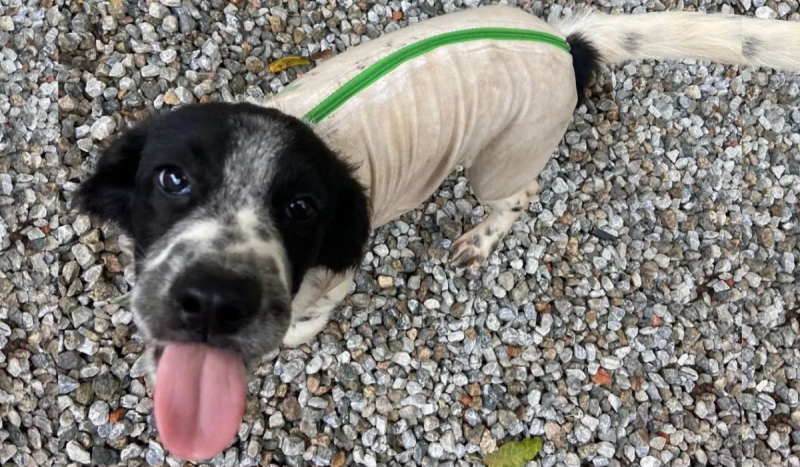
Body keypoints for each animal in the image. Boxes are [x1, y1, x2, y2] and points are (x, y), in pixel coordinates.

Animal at [76, 5, 800, 462]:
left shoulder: (330, 283)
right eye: (171, 178)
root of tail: (567, 46)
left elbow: (307, 321)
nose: (212, 303)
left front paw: (294, 340)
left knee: (519, 197)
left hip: (502, 160)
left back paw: (480, 240)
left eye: (302, 208)